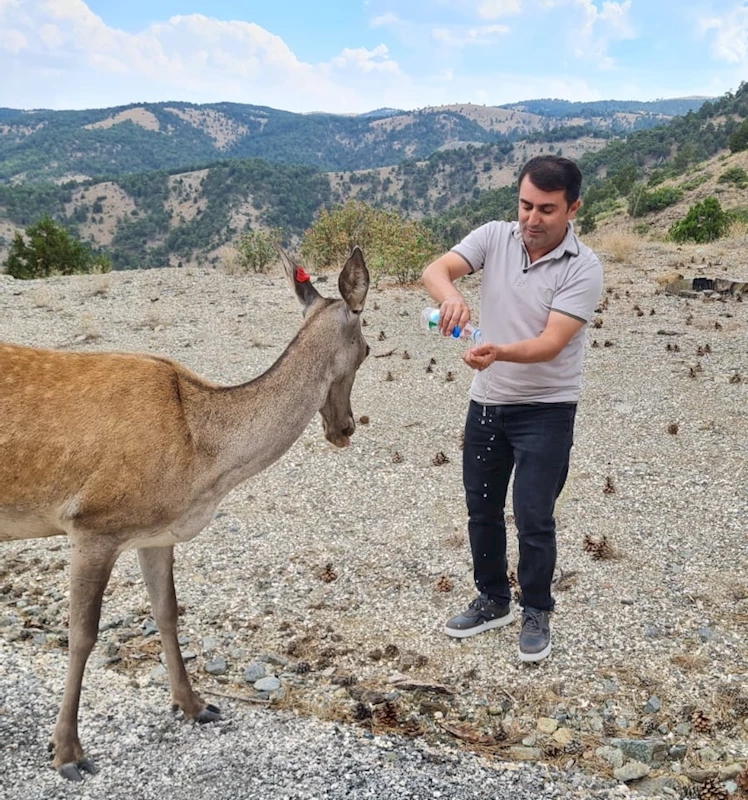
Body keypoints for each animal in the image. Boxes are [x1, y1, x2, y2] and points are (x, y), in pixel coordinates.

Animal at [0, 245, 370, 780]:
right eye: (368, 351)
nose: (345, 429)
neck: (201, 458)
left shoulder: (155, 533)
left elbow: (167, 612)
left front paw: (195, 705)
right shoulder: (92, 523)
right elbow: (82, 635)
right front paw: (67, 752)